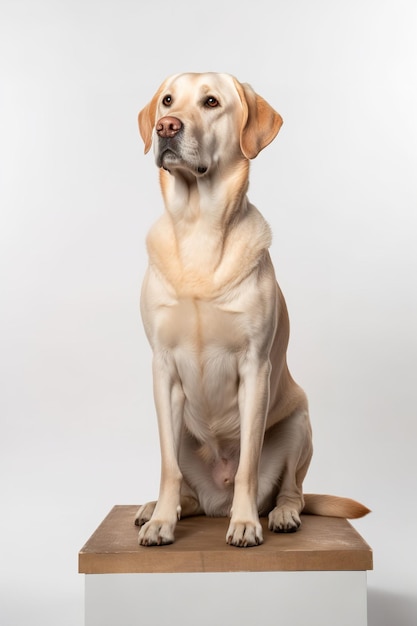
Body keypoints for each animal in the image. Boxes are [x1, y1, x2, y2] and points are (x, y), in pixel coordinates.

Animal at [133, 70, 368, 544]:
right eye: (168, 100)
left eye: (210, 102)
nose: (165, 126)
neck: (198, 228)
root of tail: (215, 502)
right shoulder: (163, 369)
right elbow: (168, 467)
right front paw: (162, 522)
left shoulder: (255, 366)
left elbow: (247, 465)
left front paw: (245, 524)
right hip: (185, 431)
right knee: (186, 489)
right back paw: (158, 509)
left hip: (298, 423)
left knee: (291, 489)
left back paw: (279, 515)